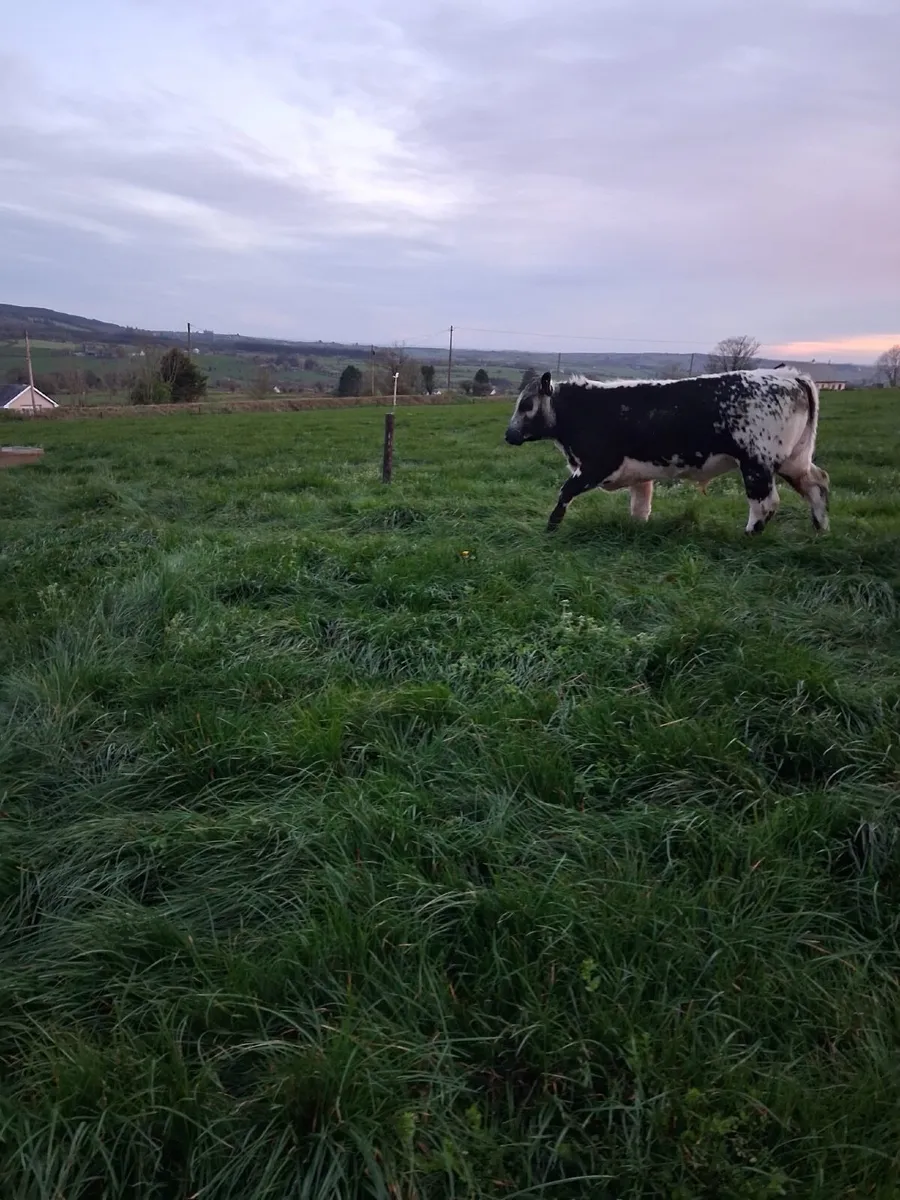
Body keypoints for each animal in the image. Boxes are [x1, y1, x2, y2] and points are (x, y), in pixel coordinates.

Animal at [504, 367, 830, 535]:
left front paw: (551, 526)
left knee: (766, 503)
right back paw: (820, 528)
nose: (509, 435)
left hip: (756, 463)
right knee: (817, 483)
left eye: (527, 404)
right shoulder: (639, 474)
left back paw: (749, 534)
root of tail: (789, 375)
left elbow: (565, 492)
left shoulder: (597, 465)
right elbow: (640, 507)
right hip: (793, 461)